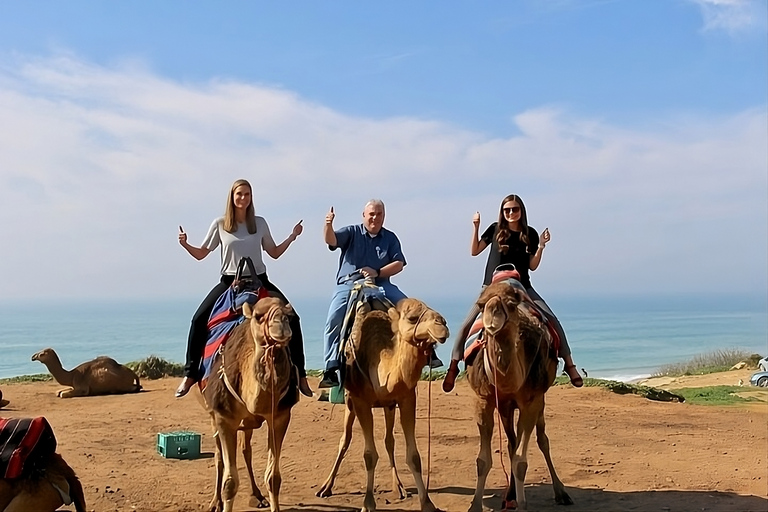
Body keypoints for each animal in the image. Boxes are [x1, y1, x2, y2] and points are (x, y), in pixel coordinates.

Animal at [200, 296, 298, 512]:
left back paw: (257, 496)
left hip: (247, 423)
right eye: (258, 316)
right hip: (212, 415)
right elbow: (230, 482)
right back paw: (215, 503)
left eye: (289, 316)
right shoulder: (224, 417)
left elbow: (273, 478)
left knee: (246, 450)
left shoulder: (279, 416)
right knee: (218, 456)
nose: (281, 325)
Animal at [316, 298, 450, 512]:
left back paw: (399, 488)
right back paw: (326, 488)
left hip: (388, 406)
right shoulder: (361, 402)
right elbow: (369, 455)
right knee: (345, 439)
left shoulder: (406, 398)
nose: (442, 324)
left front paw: (427, 503)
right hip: (349, 401)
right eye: (412, 318)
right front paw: (368, 503)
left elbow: (414, 456)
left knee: (389, 441)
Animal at [464, 282, 572, 510]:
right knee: (511, 443)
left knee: (542, 440)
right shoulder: (483, 399)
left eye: (511, 304)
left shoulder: (531, 401)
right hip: (505, 407)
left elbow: (521, 461)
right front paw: (475, 505)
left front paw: (523, 505)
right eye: (481, 305)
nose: (492, 319)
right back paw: (510, 494)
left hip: (539, 400)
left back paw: (560, 493)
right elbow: (483, 461)